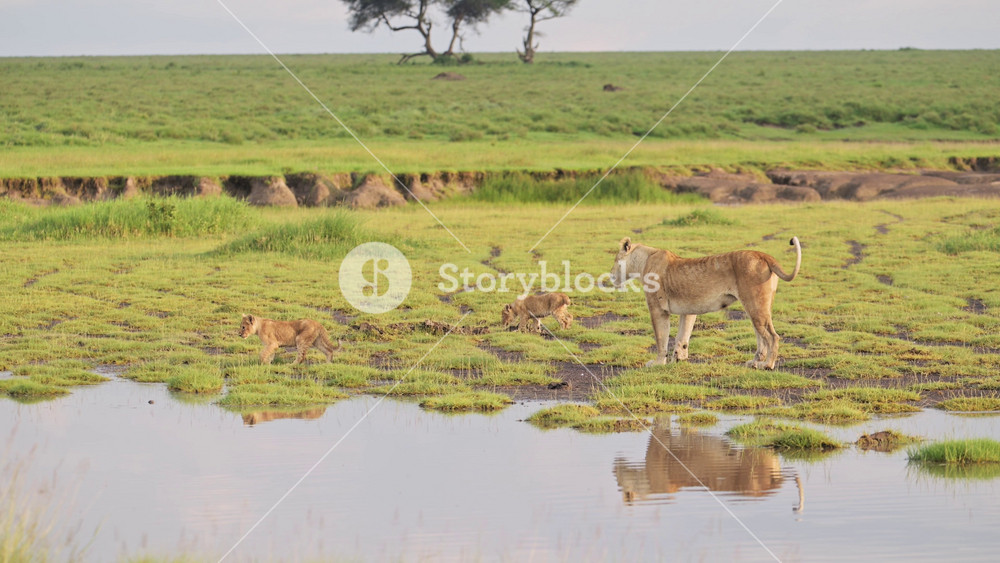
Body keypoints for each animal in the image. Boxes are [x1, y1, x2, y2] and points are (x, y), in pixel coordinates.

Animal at [610, 236, 801, 370]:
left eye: (615, 260)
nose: (610, 275)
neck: (643, 260)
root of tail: (763, 255)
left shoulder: (658, 309)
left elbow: (661, 338)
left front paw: (658, 364)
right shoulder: (688, 310)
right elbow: (682, 336)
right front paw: (678, 359)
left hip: (755, 304)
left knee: (773, 336)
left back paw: (768, 365)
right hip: (757, 307)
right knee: (761, 335)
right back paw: (754, 362)